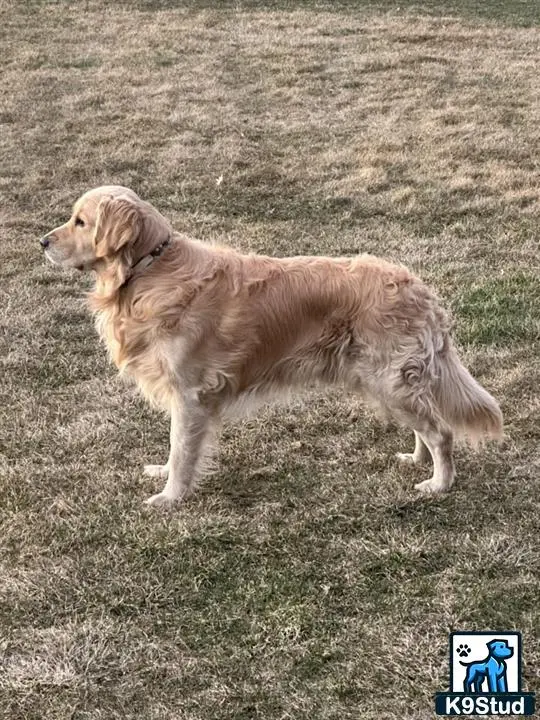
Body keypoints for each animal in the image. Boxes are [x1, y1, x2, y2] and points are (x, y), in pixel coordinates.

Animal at [41, 188, 502, 510]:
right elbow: (175, 448)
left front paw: (171, 496)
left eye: (80, 221)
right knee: (425, 426)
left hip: (388, 379)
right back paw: (417, 460)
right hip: (388, 383)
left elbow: (182, 448)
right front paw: (164, 474)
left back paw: (439, 483)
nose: (42, 242)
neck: (149, 271)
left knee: (441, 431)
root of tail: (418, 287)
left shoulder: (191, 394)